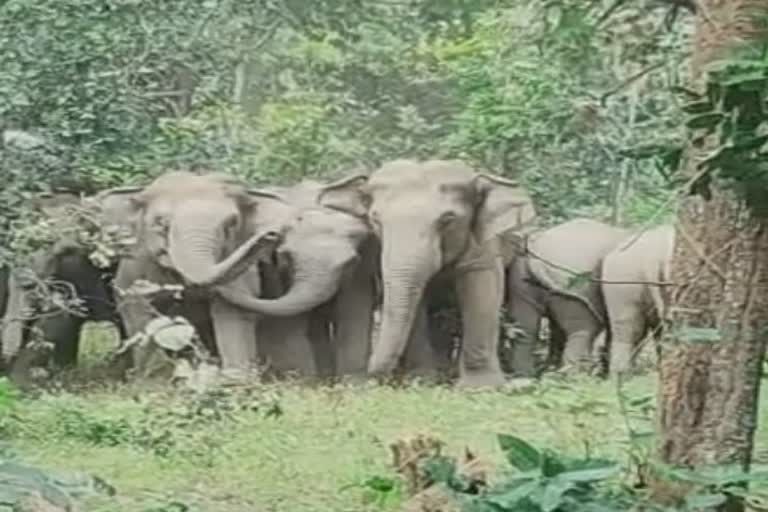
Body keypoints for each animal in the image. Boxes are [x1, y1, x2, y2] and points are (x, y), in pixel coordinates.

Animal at [99, 170, 284, 378]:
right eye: (160, 223)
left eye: (231, 224)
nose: (271, 235)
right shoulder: (137, 259)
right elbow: (133, 302)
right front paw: (151, 380)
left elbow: (234, 309)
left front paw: (236, 380)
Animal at [312, 158, 536, 386]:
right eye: (375, 219)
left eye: (448, 219)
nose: (372, 370)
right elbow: (416, 301)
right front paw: (422, 380)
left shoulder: (484, 239)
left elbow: (481, 287)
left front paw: (481, 386)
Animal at [504, 216, 632, 376]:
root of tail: (537, 252)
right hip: (575, 280)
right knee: (583, 330)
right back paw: (573, 377)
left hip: (522, 278)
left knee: (525, 326)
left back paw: (526, 375)